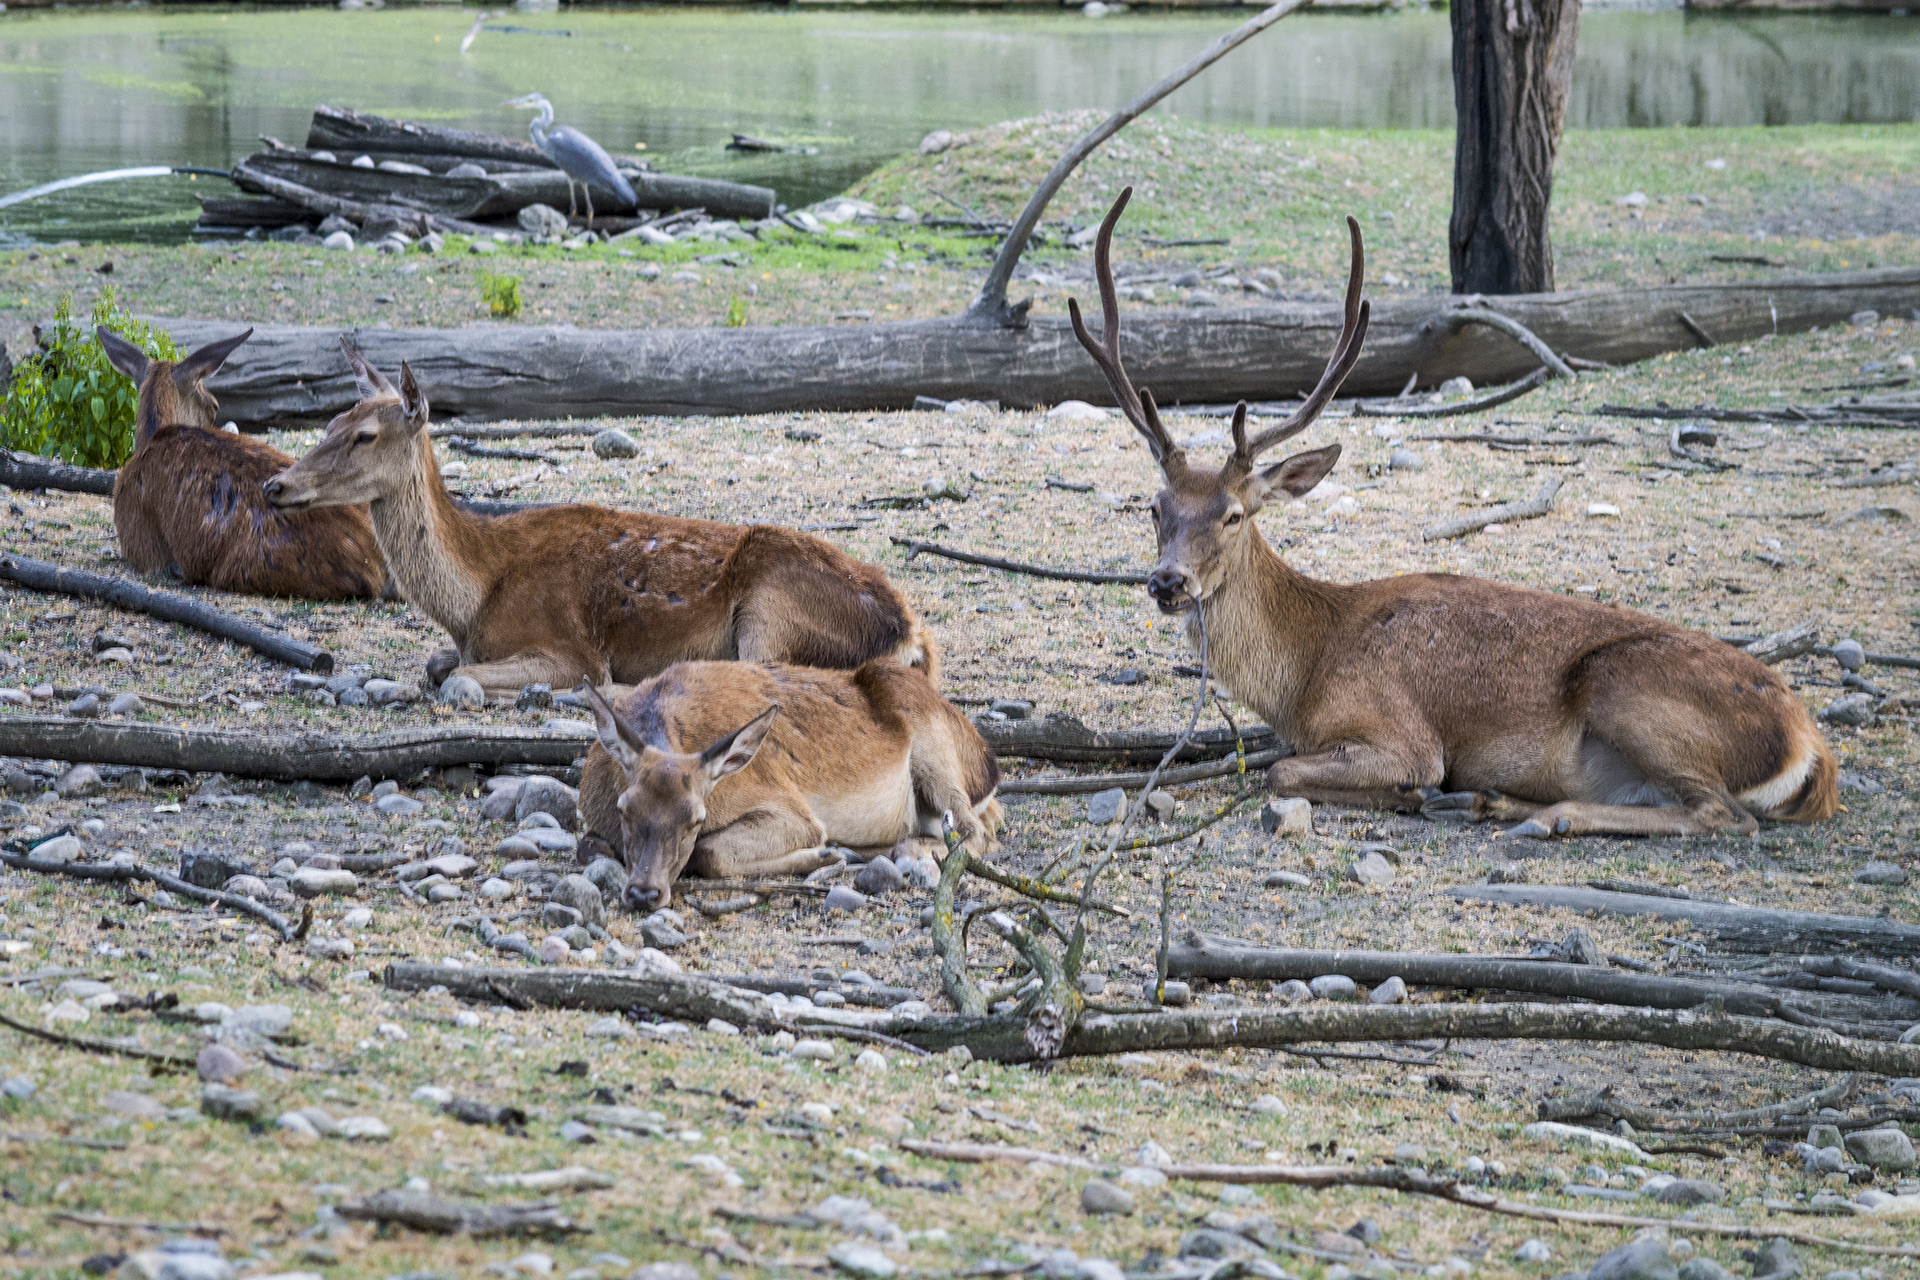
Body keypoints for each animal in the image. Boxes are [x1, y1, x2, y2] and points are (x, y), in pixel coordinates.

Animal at [262, 341, 940, 701]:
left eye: (365, 435)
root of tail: (911, 636)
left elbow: (459, 679)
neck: (477, 595)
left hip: (773, 606)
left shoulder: (569, 646)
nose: (275, 485)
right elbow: (437, 666)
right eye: (331, 423)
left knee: (758, 673)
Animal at [576, 660, 1002, 911]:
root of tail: (987, 765)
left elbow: (709, 852)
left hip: (934, 747)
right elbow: (588, 846)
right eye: (624, 809)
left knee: (973, 831)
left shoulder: (791, 808)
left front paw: (822, 855)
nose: (644, 893)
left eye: (695, 818)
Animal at [1067, 188, 1837, 840]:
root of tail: (1812, 748)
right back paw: (1493, 800)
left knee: (1724, 814)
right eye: (1155, 507)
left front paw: (1411, 793)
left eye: (1233, 515)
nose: (1168, 582)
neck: (1307, 671)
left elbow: (1284, 771)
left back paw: (1539, 812)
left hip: (1630, 690)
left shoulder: (1400, 732)